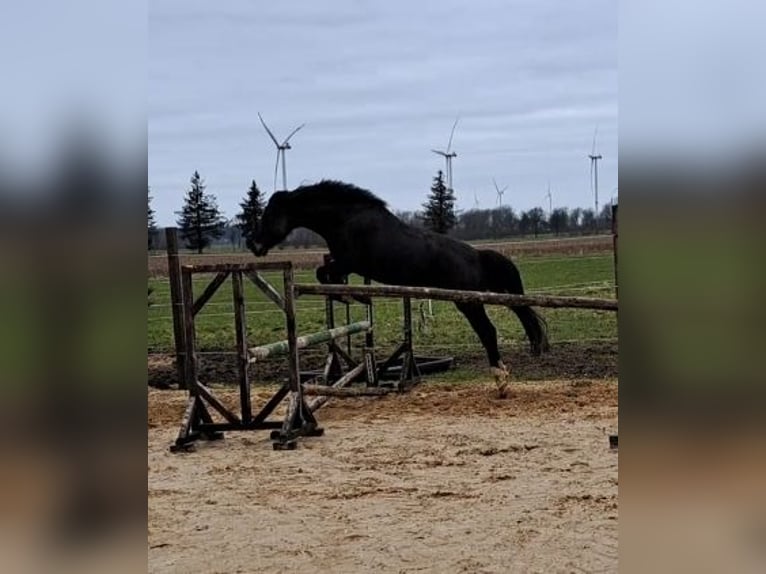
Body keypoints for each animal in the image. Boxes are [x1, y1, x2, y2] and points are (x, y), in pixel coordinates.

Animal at [254, 182, 552, 384]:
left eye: (269, 215)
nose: (254, 245)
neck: (346, 219)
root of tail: (477, 256)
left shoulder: (350, 262)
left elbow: (324, 274)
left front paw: (349, 296)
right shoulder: (344, 263)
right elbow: (325, 274)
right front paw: (354, 296)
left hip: (467, 301)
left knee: (488, 332)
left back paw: (500, 376)